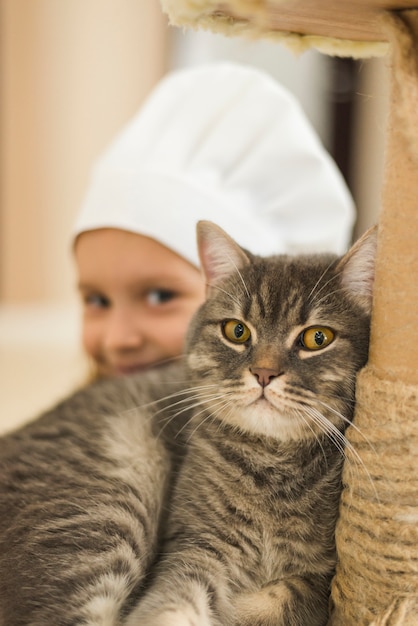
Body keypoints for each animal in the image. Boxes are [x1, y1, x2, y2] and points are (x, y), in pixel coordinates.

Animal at [0, 221, 376, 624]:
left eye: (317, 337)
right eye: (237, 331)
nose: (263, 373)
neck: (273, 463)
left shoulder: (322, 579)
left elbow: (277, 598)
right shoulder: (197, 545)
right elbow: (170, 605)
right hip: (106, 508)